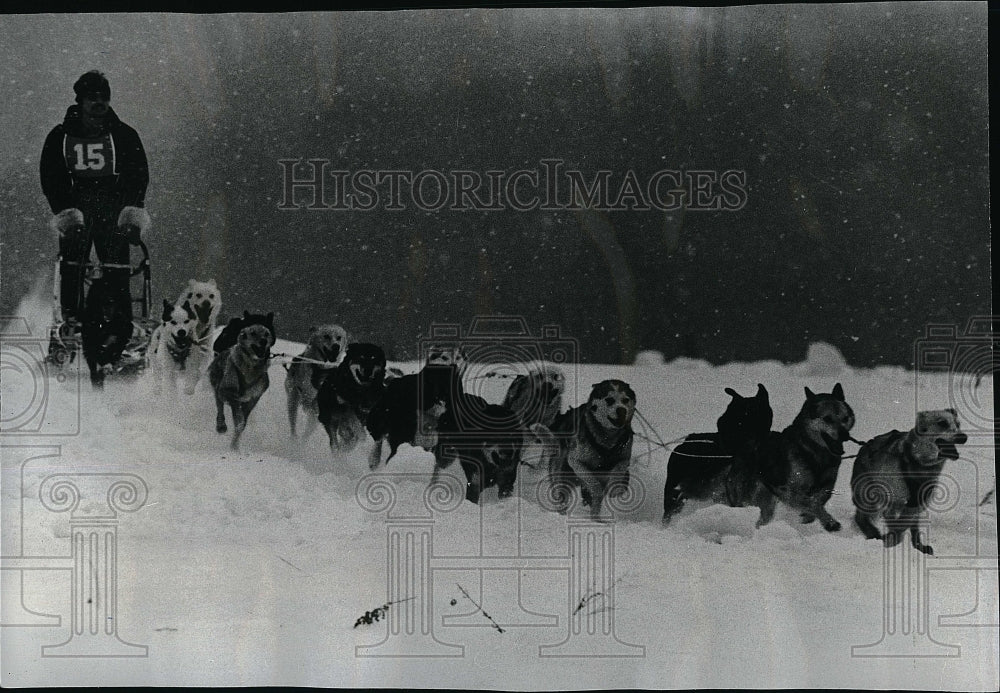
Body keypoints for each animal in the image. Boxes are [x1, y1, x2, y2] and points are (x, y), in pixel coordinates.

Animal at [856, 408, 964, 556]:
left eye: (958, 424)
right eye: (942, 423)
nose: (963, 437)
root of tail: (865, 446)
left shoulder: (917, 504)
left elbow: (908, 525)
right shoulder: (894, 503)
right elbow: (898, 526)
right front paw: (890, 541)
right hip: (869, 497)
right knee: (860, 516)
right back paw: (872, 533)